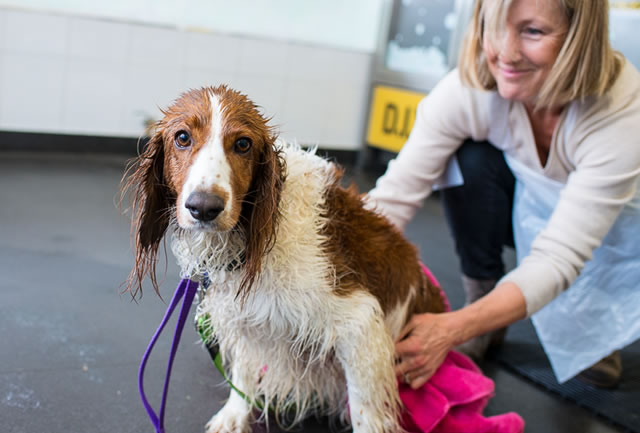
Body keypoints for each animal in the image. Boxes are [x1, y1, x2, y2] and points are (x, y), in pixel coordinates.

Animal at [125, 85, 444, 432]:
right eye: (182, 137)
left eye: (243, 144)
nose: (204, 207)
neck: (256, 233)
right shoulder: (245, 315)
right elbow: (245, 370)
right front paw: (234, 414)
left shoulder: (360, 323)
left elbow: (365, 410)